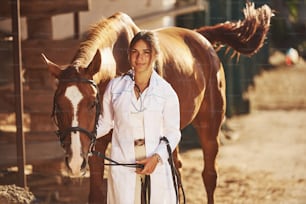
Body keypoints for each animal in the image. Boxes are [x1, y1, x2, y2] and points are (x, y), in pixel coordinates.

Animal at [41, 1, 272, 204]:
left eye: (91, 104)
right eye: (58, 106)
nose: (74, 162)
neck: (120, 61)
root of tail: (201, 38)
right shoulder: (95, 143)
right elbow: (96, 194)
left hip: (209, 125)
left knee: (209, 175)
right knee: (176, 169)